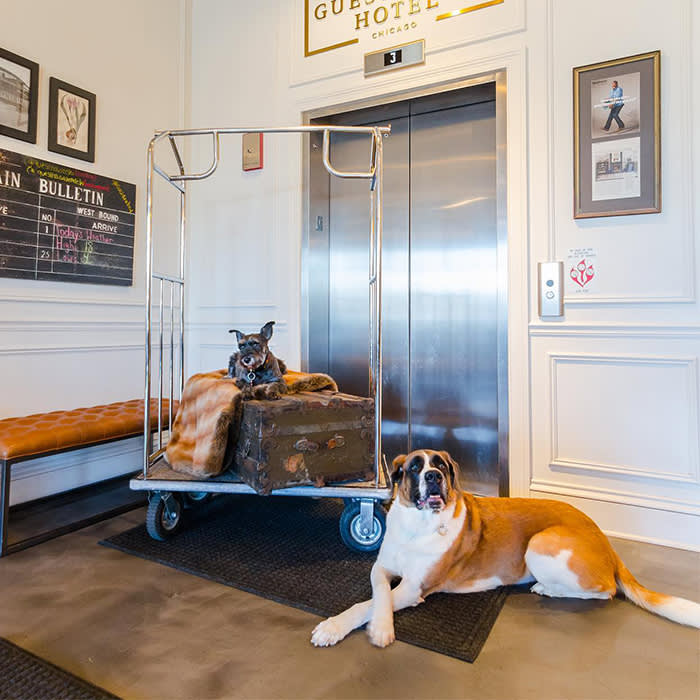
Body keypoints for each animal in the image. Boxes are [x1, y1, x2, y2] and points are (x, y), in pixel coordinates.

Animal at [312, 452, 700, 648]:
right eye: (415, 468)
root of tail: (605, 540)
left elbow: (370, 603)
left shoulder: (412, 588)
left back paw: (547, 588)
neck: (418, 526)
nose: (435, 477)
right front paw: (349, 625)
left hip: (540, 544)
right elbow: (376, 593)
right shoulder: (382, 568)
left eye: (440, 465)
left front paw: (371, 628)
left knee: (604, 591)